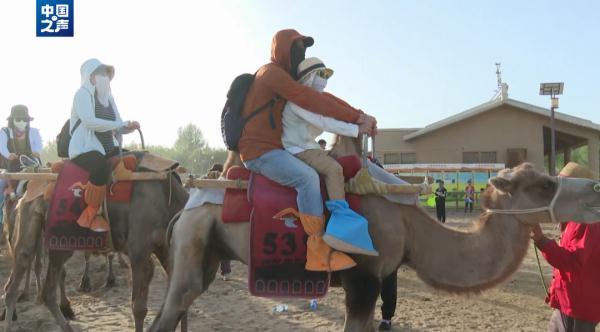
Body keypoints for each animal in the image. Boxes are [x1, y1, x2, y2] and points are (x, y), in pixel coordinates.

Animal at [1, 157, 190, 330]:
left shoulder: (165, 249)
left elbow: (181, 300)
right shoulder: (139, 250)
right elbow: (139, 308)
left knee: (44, 286)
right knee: (21, 274)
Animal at [148, 136, 600, 330]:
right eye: (544, 183)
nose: (596, 190)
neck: (411, 227)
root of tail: (186, 205)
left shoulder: (374, 280)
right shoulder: (362, 280)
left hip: (204, 251)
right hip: (194, 240)